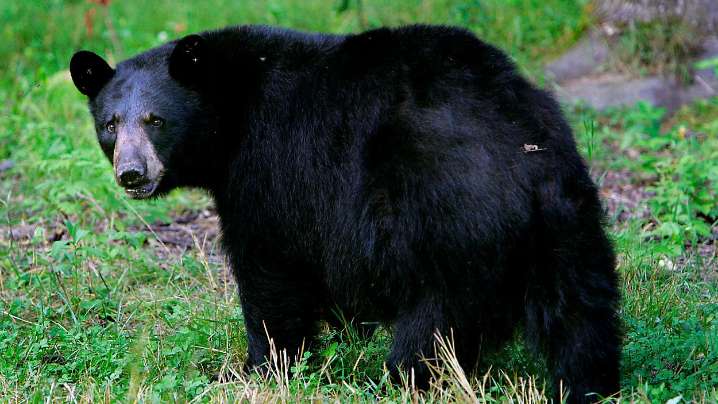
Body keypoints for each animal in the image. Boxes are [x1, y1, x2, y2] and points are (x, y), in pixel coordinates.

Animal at [70, 24, 621, 403]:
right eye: (110, 124)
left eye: (156, 120)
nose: (132, 173)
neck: (231, 113)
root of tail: (520, 152)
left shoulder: (271, 169)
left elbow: (269, 272)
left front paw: (261, 368)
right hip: (568, 219)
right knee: (581, 313)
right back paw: (591, 385)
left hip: (451, 223)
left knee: (436, 326)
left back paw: (399, 380)